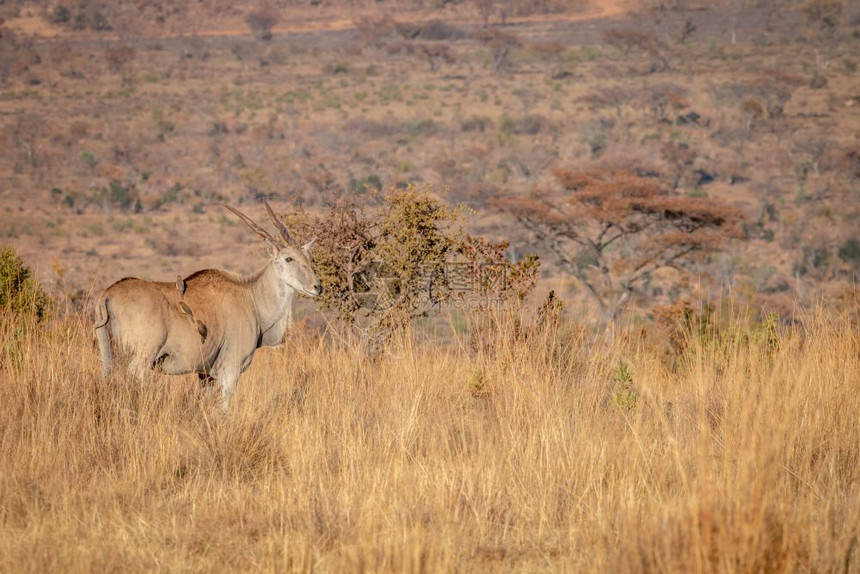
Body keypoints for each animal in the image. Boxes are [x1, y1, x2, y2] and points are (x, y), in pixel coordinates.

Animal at [95, 202, 322, 410]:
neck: (252, 298)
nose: (317, 287)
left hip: (108, 354)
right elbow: (223, 408)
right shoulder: (230, 369)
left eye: (309, 258)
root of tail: (108, 294)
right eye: (289, 258)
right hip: (143, 356)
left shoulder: (205, 375)